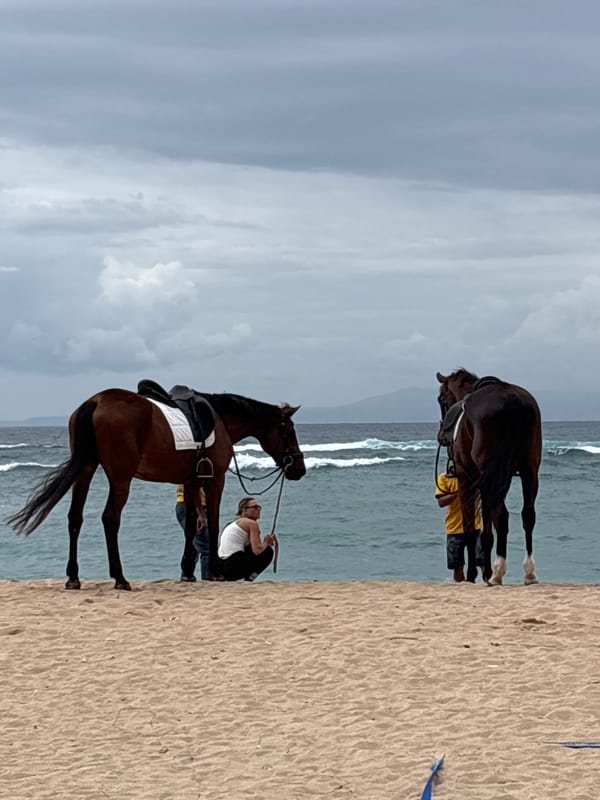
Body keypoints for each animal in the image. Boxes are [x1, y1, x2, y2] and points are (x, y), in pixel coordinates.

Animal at [7, 387, 306, 590]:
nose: (299, 469)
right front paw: (217, 572)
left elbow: (191, 524)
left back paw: (73, 576)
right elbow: (211, 523)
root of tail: (95, 401)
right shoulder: (214, 480)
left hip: (86, 469)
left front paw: (187, 572)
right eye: (289, 431)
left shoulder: (191, 481)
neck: (219, 419)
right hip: (120, 477)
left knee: (75, 518)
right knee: (110, 518)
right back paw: (120, 577)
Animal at [436, 369, 542, 585]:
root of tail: (512, 400)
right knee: (527, 515)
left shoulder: (466, 477)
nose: (441, 435)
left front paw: (474, 574)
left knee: (495, 519)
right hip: (529, 470)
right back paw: (529, 573)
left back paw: (495, 573)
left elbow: (471, 527)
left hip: (492, 475)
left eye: (441, 399)